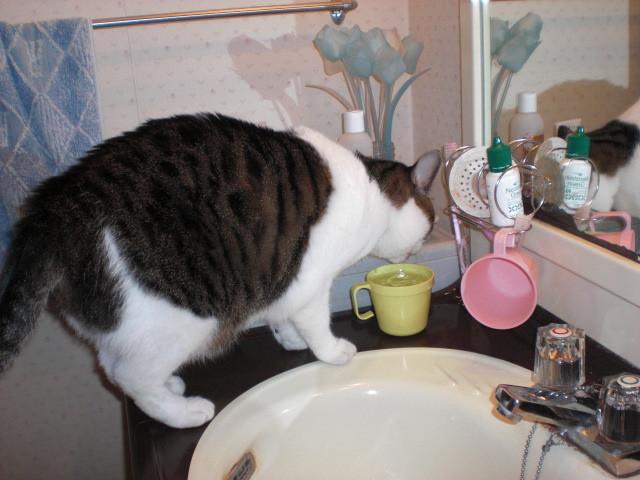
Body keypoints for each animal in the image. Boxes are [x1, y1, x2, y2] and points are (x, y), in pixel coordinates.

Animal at [0, 113, 440, 428]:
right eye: (431, 223)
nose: (421, 248)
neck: (372, 193)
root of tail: (55, 208)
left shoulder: (281, 279)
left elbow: (281, 316)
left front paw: (290, 340)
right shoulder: (312, 281)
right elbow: (316, 323)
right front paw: (332, 351)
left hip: (127, 322)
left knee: (109, 364)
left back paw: (172, 387)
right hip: (182, 318)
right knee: (128, 375)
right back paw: (184, 412)